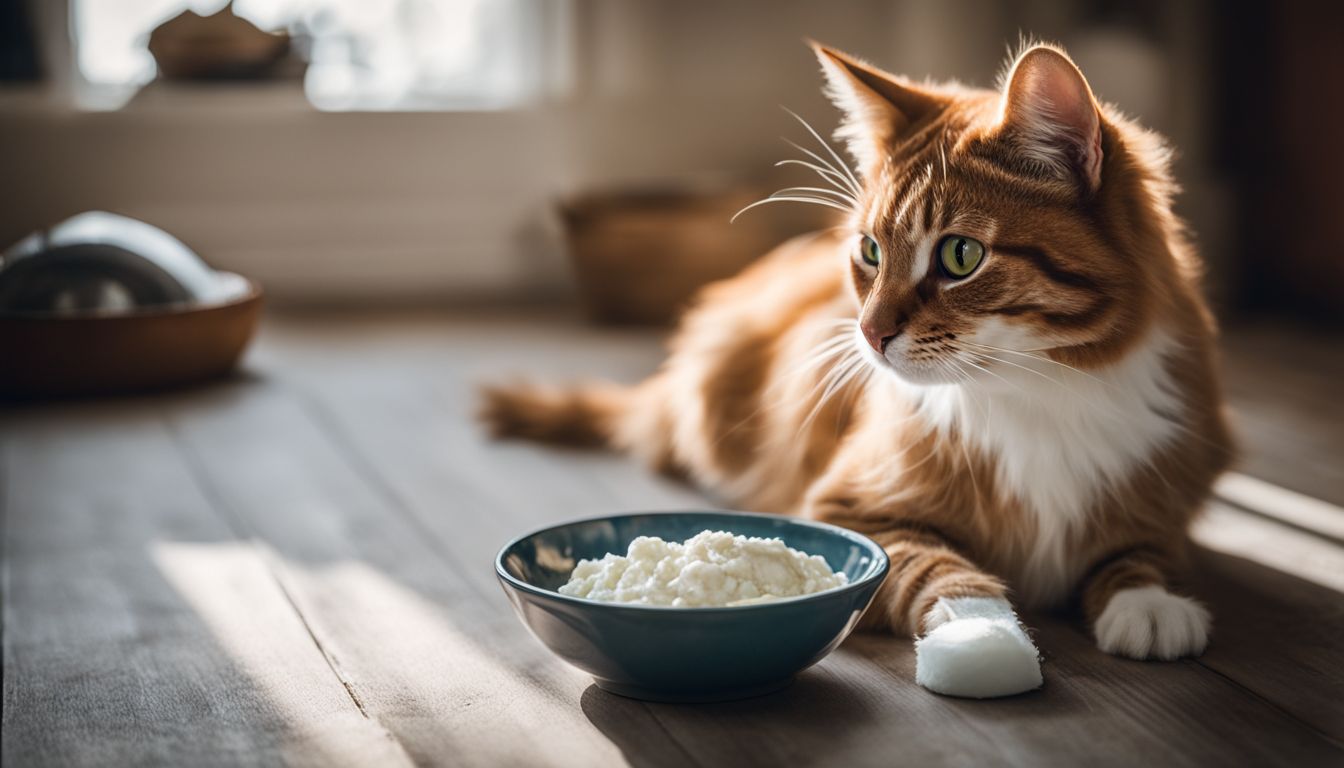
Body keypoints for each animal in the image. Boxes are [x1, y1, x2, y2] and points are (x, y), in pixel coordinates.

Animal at [478, 42, 1231, 699]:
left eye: (959, 256)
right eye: (870, 250)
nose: (869, 333)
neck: (1037, 388)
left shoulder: (1163, 492)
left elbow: (1137, 552)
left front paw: (1149, 604)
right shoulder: (860, 510)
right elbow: (952, 578)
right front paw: (987, 646)